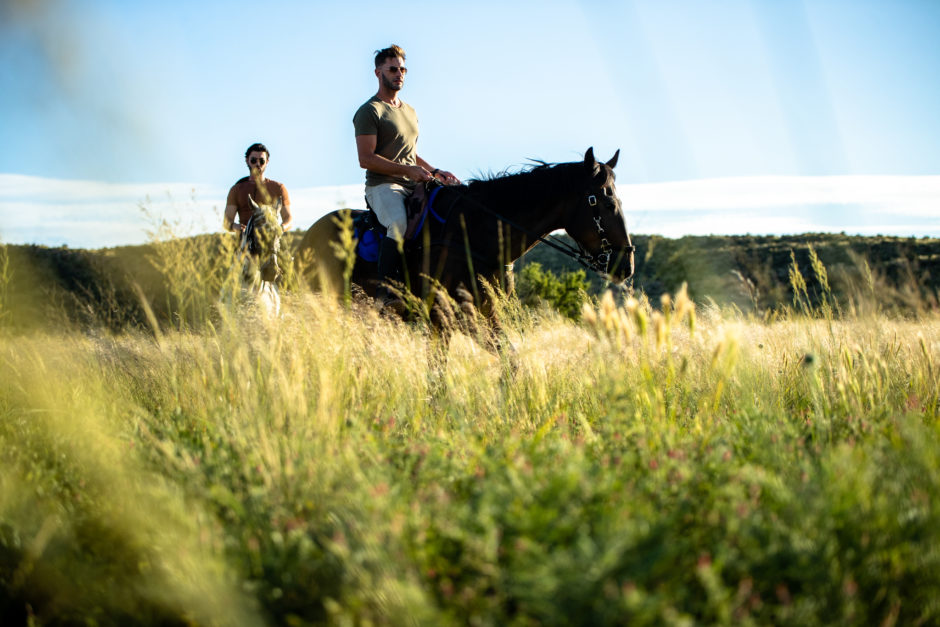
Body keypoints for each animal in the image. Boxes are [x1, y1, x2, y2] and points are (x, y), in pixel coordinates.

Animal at [296, 149, 632, 348]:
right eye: (605, 202)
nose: (625, 266)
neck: (476, 231)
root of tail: (307, 237)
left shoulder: (486, 314)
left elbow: (510, 359)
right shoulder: (446, 319)